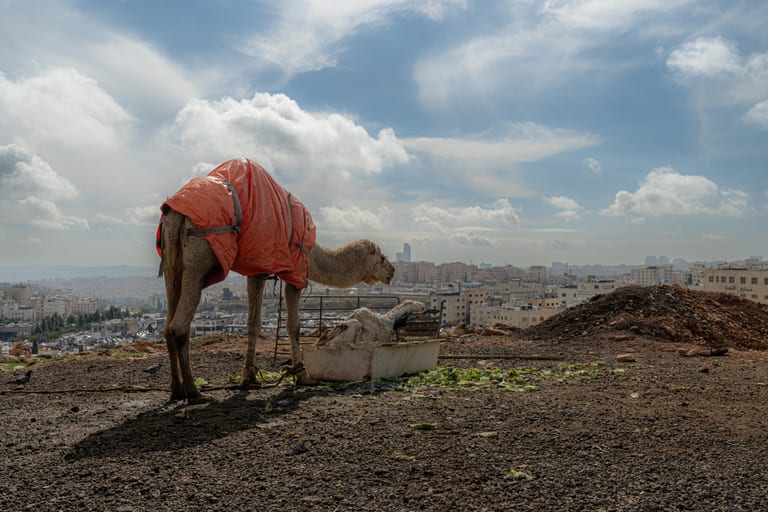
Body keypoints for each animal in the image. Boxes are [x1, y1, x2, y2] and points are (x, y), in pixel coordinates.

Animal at [158, 158, 395, 402]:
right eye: (382, 258)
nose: (392, 271)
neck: (313, 253)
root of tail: (176, 213)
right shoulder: (296, 272)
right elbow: (293, 325)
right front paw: (303, 376)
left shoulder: (257, 269)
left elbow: (253, 322)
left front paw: (249, 379)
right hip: (199, 255)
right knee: (179, 325)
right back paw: (195, 392)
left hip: (172, 262)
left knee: (167, 324)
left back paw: (175, 390)